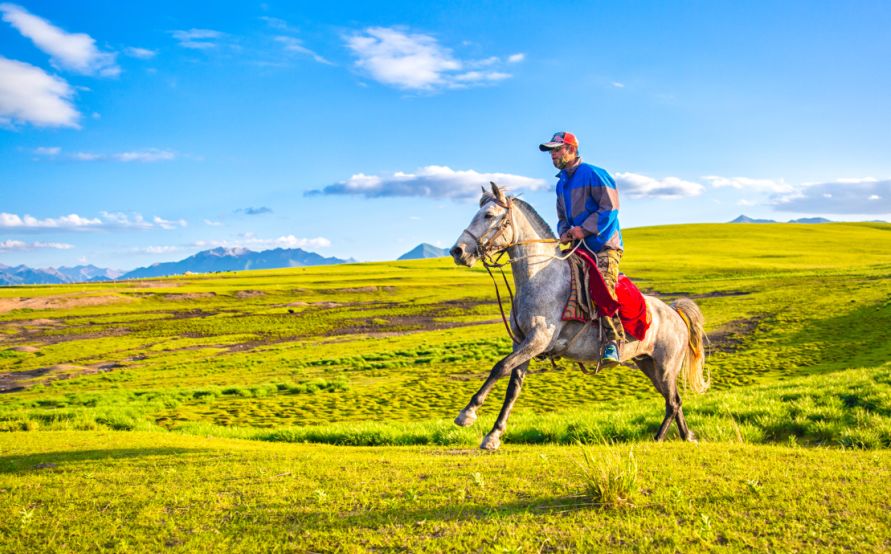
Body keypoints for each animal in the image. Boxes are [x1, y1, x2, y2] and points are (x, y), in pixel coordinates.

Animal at [450, 181, 708, 448]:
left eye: (489, 215)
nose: (457, 251)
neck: (540, 277)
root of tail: (675, 312)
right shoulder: (522, 342)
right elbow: (514, 386)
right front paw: (494, 434)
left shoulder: (538, 340)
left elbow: (499, 367)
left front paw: (467, 414)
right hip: (648, 364)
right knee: (674, 401)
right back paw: (686, 437)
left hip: (666, 366)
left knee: (673, 402)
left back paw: (658, 438)